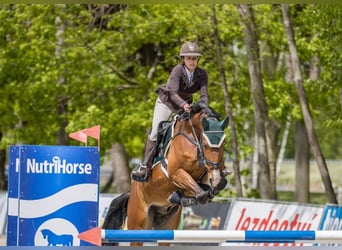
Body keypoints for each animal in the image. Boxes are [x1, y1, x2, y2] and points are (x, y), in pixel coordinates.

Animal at [102, 101, 230, 246]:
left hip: (167, 224)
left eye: (224, 143)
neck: (192, 140)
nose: (215, 177)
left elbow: (219, 183)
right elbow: (200, 193)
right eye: (205, 143)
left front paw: (198, 193)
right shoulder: (175, 173)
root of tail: (132, 192)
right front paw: (191, 196)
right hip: (138, 223)